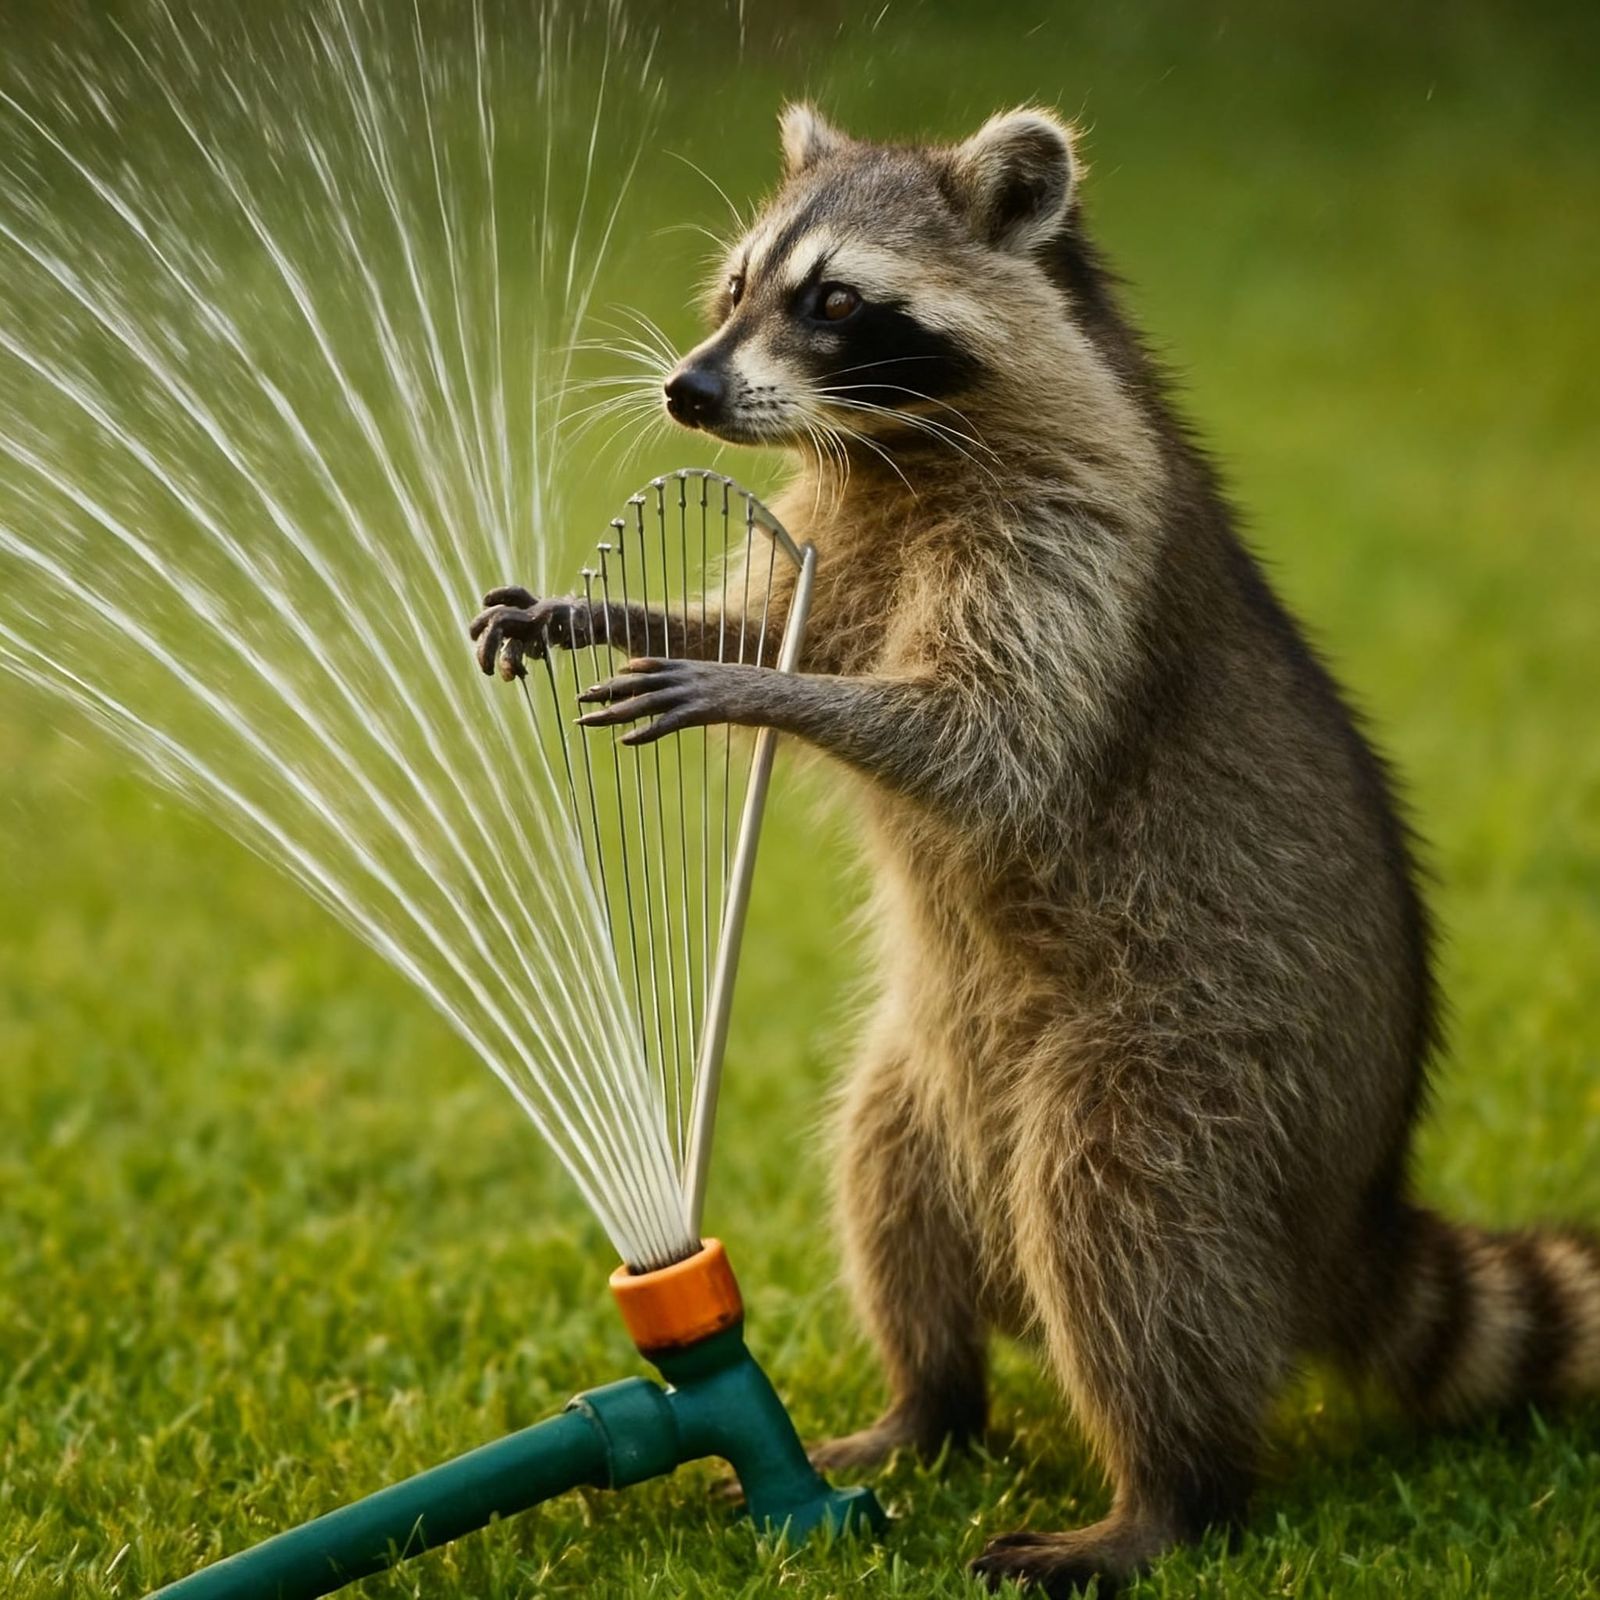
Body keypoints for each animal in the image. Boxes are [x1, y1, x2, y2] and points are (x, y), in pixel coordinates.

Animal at [471, 106, 1600, 1595]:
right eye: (737, 286)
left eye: (834, 302)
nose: (688, 392)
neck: (892, 443)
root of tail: (1353, 1212)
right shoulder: (852, 529)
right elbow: (783, 618)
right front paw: (612, 611)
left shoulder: (1072, 532)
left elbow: (988, 739)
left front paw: (766, 694)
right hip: (929, 1081)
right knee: (883, 1183)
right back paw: (928, 1404)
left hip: (1194, 1074)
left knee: (1126, 1240)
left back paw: (1164, 1498)